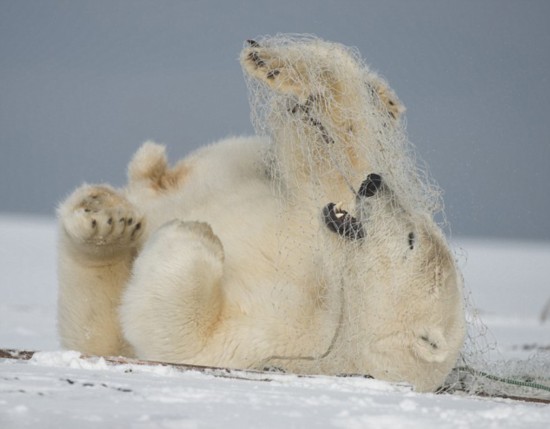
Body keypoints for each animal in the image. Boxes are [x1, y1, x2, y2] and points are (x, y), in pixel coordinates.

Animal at [57, 36, 466, 392]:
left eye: (411, 239)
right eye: (419, 226)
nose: (375, 183)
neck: (340, 310)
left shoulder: (274, 346)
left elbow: (181, 334)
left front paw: (198, 234)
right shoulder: (318, 230)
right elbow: (329, 163)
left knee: (96, 323)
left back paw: (107, 226)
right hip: (230, 162)